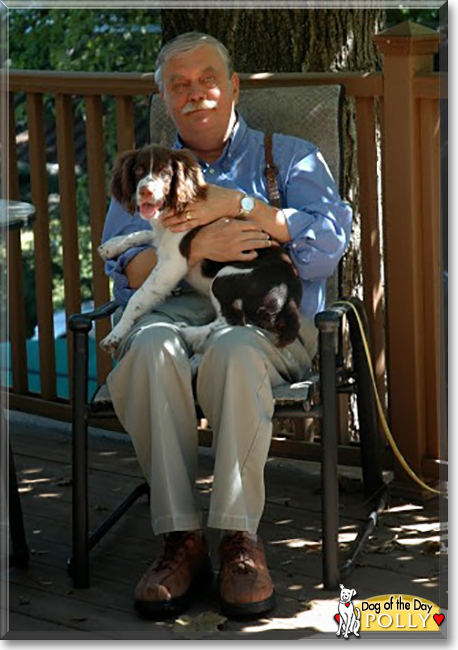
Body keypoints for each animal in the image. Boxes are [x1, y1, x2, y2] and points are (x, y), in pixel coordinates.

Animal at [98, 143, 302, 354]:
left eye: (165, 173)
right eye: (138, 170)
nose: (146, 191)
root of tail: (291, 297)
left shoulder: (171, 264)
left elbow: (138, 297)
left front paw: (115, 334)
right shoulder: (162, 239)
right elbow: (142, 233)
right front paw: (111, 246)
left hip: (225, 278)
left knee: (232, 322)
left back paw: (186, 331)